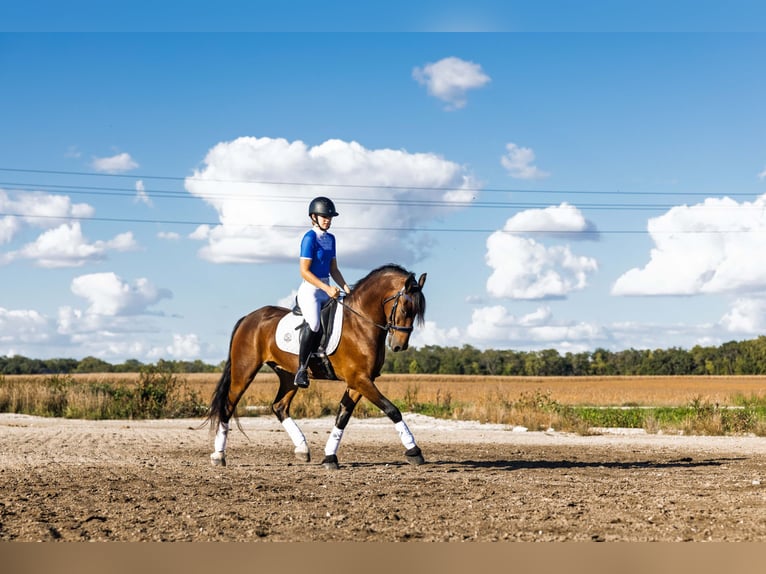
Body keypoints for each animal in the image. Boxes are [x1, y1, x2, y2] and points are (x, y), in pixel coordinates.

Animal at [205, 263, 427, 470]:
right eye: (406, 308)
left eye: (416, 312)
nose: (399, 346)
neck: (360, 322)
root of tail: (249, 318)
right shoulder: (359, 379)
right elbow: (392, 410)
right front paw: (414, 451)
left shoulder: (359, 382)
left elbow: (342, 417)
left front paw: (330, 457)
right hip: (244, 371)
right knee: (228, 405)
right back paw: (218, 455)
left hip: (288, 376)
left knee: (279, 407)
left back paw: (302, 449)